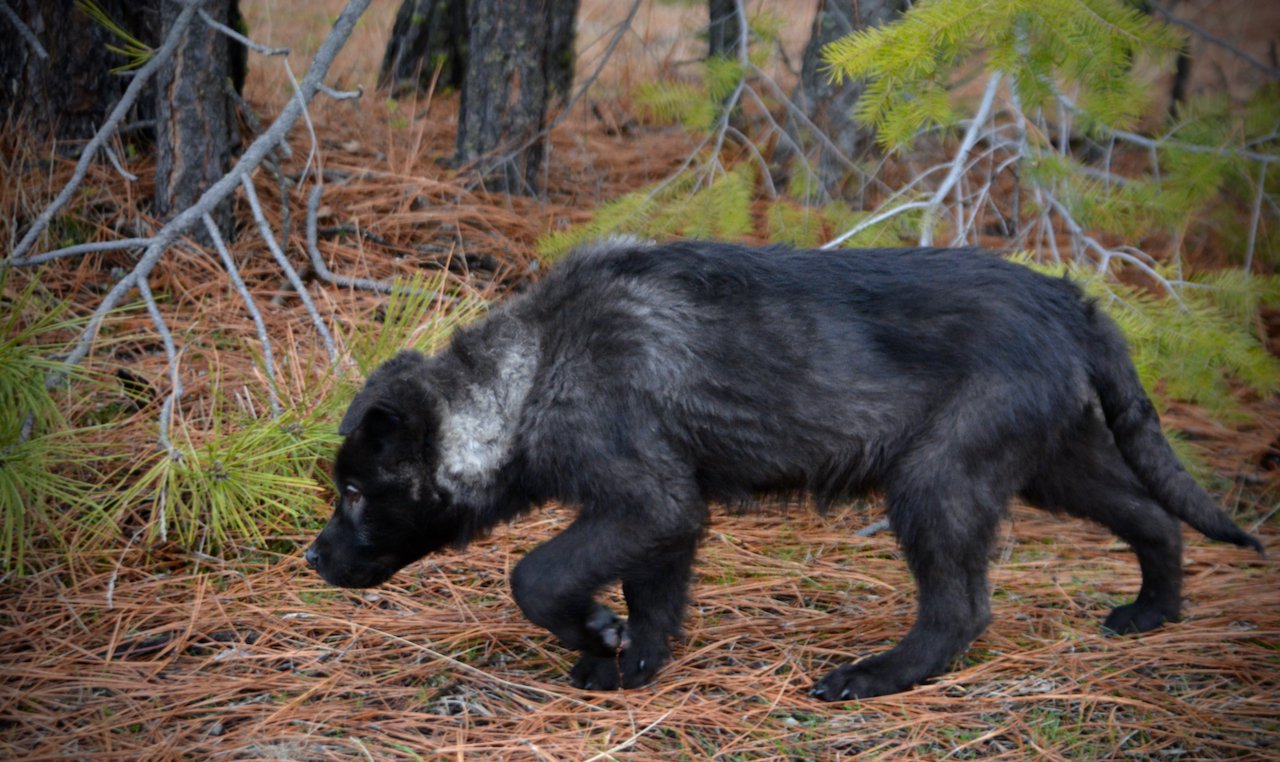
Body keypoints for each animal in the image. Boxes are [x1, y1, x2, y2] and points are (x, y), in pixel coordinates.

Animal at [307, 242, 1259, 701]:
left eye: (355, 493)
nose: (313, 560)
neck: (534, 371)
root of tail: (1070, 298)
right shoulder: (668, 514)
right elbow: (656, 603)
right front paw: (628, 665)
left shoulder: (644, 500)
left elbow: (536, 576)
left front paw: (595, 634)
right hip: (1053, 464)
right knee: (1155, 518)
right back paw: (1152, 613)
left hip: (938, 481)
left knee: (961, 609)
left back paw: (872, 678)